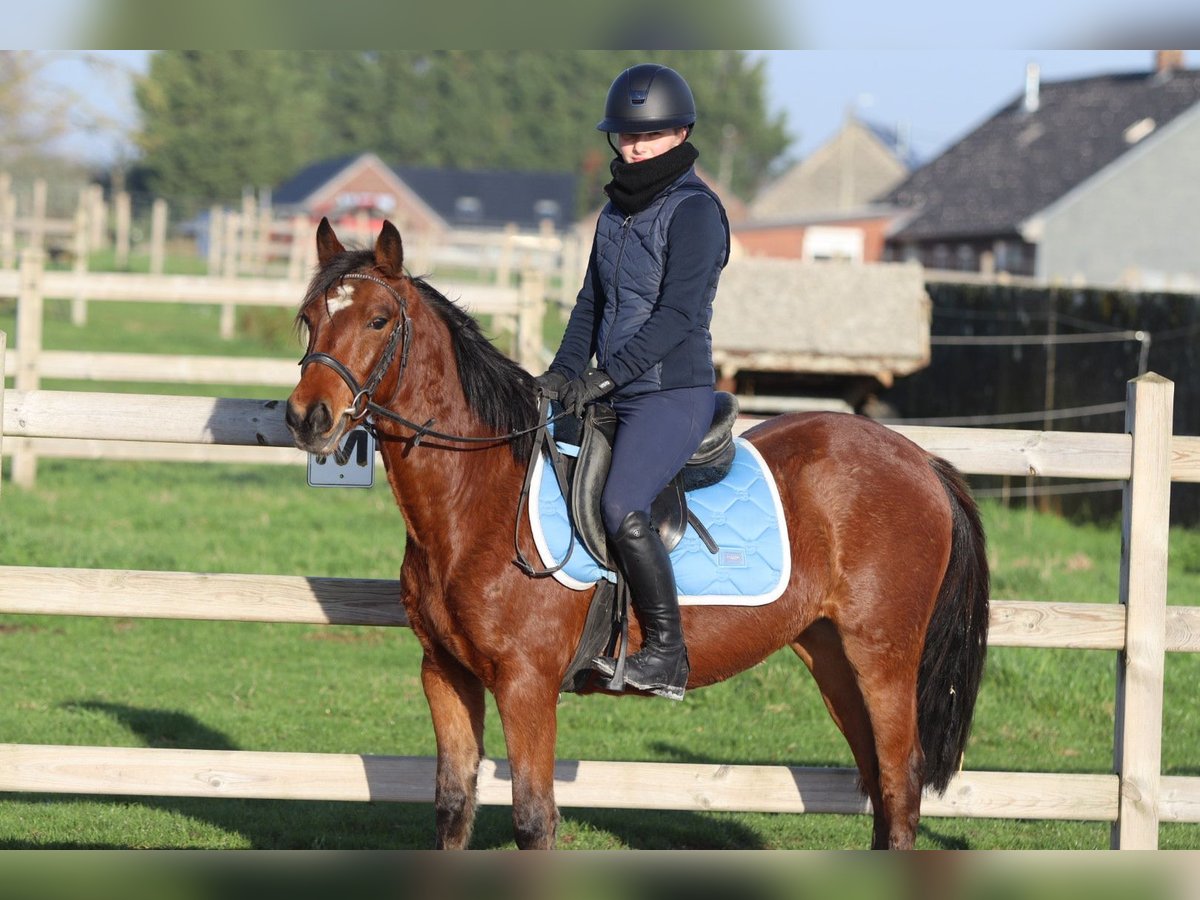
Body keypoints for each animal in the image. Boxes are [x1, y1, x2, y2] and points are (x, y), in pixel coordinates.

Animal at [285, 218, 989, 850]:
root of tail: (919, 459)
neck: (479, 495)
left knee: (899, 785)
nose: (308, 418)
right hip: (833, 655)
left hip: (883, 658)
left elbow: (533, 820)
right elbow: (453, 809)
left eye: (379, 320)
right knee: (878, 786)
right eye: (310, 317)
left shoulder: (525, 683)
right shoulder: (445, 673)